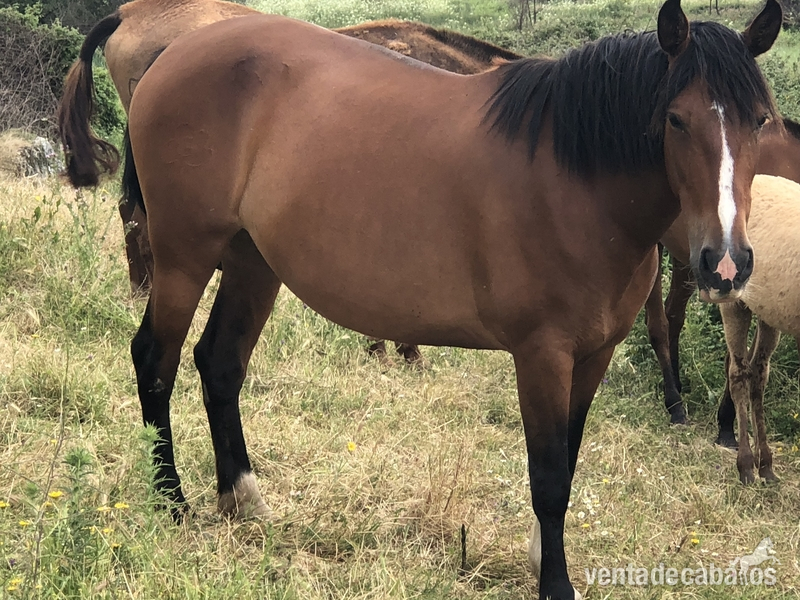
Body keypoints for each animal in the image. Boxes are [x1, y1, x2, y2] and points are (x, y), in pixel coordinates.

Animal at [80, 0, 782, 596]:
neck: (575, 181)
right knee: (156, 360)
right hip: (184, 256)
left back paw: (244, 502)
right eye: (675, 118)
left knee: (219, 364)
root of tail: (175, 50)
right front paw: (554, 583)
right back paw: (171, 501)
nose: (725, 262)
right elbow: (548, 476)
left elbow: (567, 459)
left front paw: (544, 562)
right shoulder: (542, 355)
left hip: (253, 262)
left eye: (760, 120)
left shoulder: (594, 355)